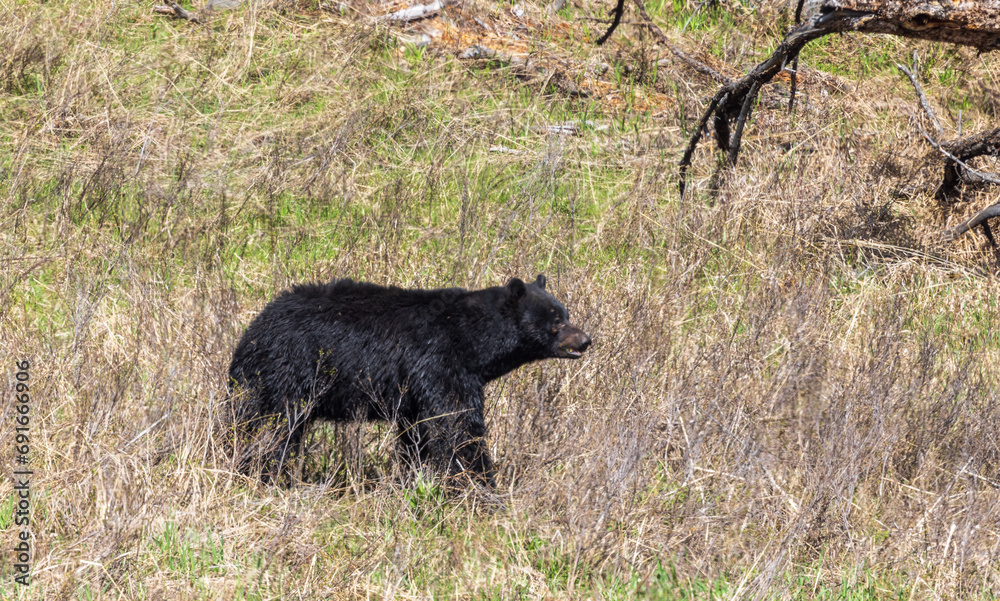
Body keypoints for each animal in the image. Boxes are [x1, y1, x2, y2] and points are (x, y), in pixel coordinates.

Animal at [228, 274, 588, 486]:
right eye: (555, 322)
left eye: (565, 313)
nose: (585, 340)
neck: (471, 338)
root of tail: (253, 330)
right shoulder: (439, 363)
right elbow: (457, 425)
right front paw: (480, 484)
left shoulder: (416, 393)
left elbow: (418, 434)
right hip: (288, 374)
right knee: (278, 429)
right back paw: (268, 474)